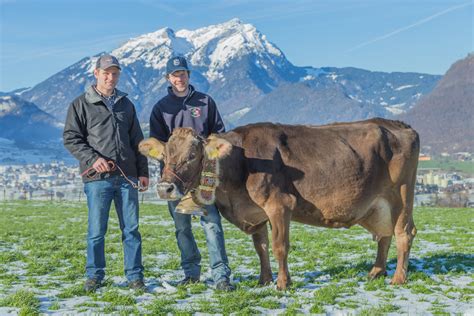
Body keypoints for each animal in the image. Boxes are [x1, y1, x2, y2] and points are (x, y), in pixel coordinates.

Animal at [140, 118, 418, 288]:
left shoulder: (280, 205)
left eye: (192, 155)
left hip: (402, 195)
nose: (164, 188)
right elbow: (261, 247)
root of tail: (398, 125)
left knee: (404, 232)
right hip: (379, 205)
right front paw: (264, 280)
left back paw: (398, 278)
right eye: (164, 156)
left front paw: (283, 283)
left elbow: (279, 246)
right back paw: (376, 271)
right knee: (384, 234)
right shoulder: (256, 212)